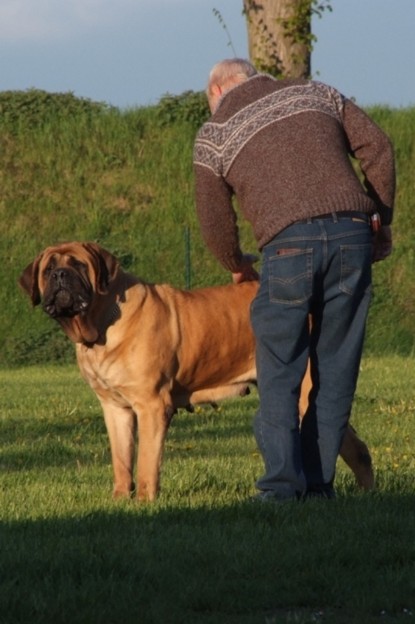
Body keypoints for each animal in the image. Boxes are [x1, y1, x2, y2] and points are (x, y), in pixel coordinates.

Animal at [18, 241, 374, 500]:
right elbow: (122, 459)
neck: (103, 321)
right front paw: (120, 499)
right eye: (48, 268)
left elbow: (146, 460)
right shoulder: (115, 408)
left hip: (304, 391)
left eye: (78, 265)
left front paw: (145, 500)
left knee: (348, 444)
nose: (60, 276)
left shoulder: (151, 406)